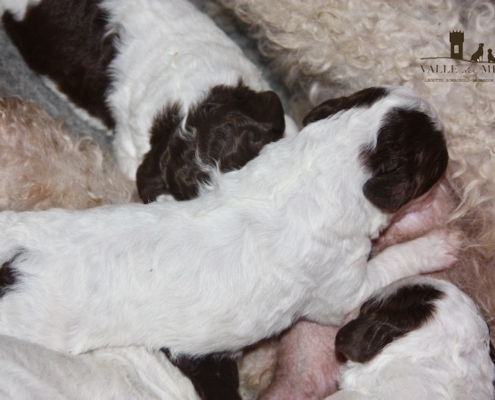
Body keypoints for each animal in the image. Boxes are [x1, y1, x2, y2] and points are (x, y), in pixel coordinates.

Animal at [0, 86, 458, 360]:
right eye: (437, 158)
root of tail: (10, 269)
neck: (316, 165)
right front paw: (439, 241)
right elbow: (390, 262)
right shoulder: (342, 291)